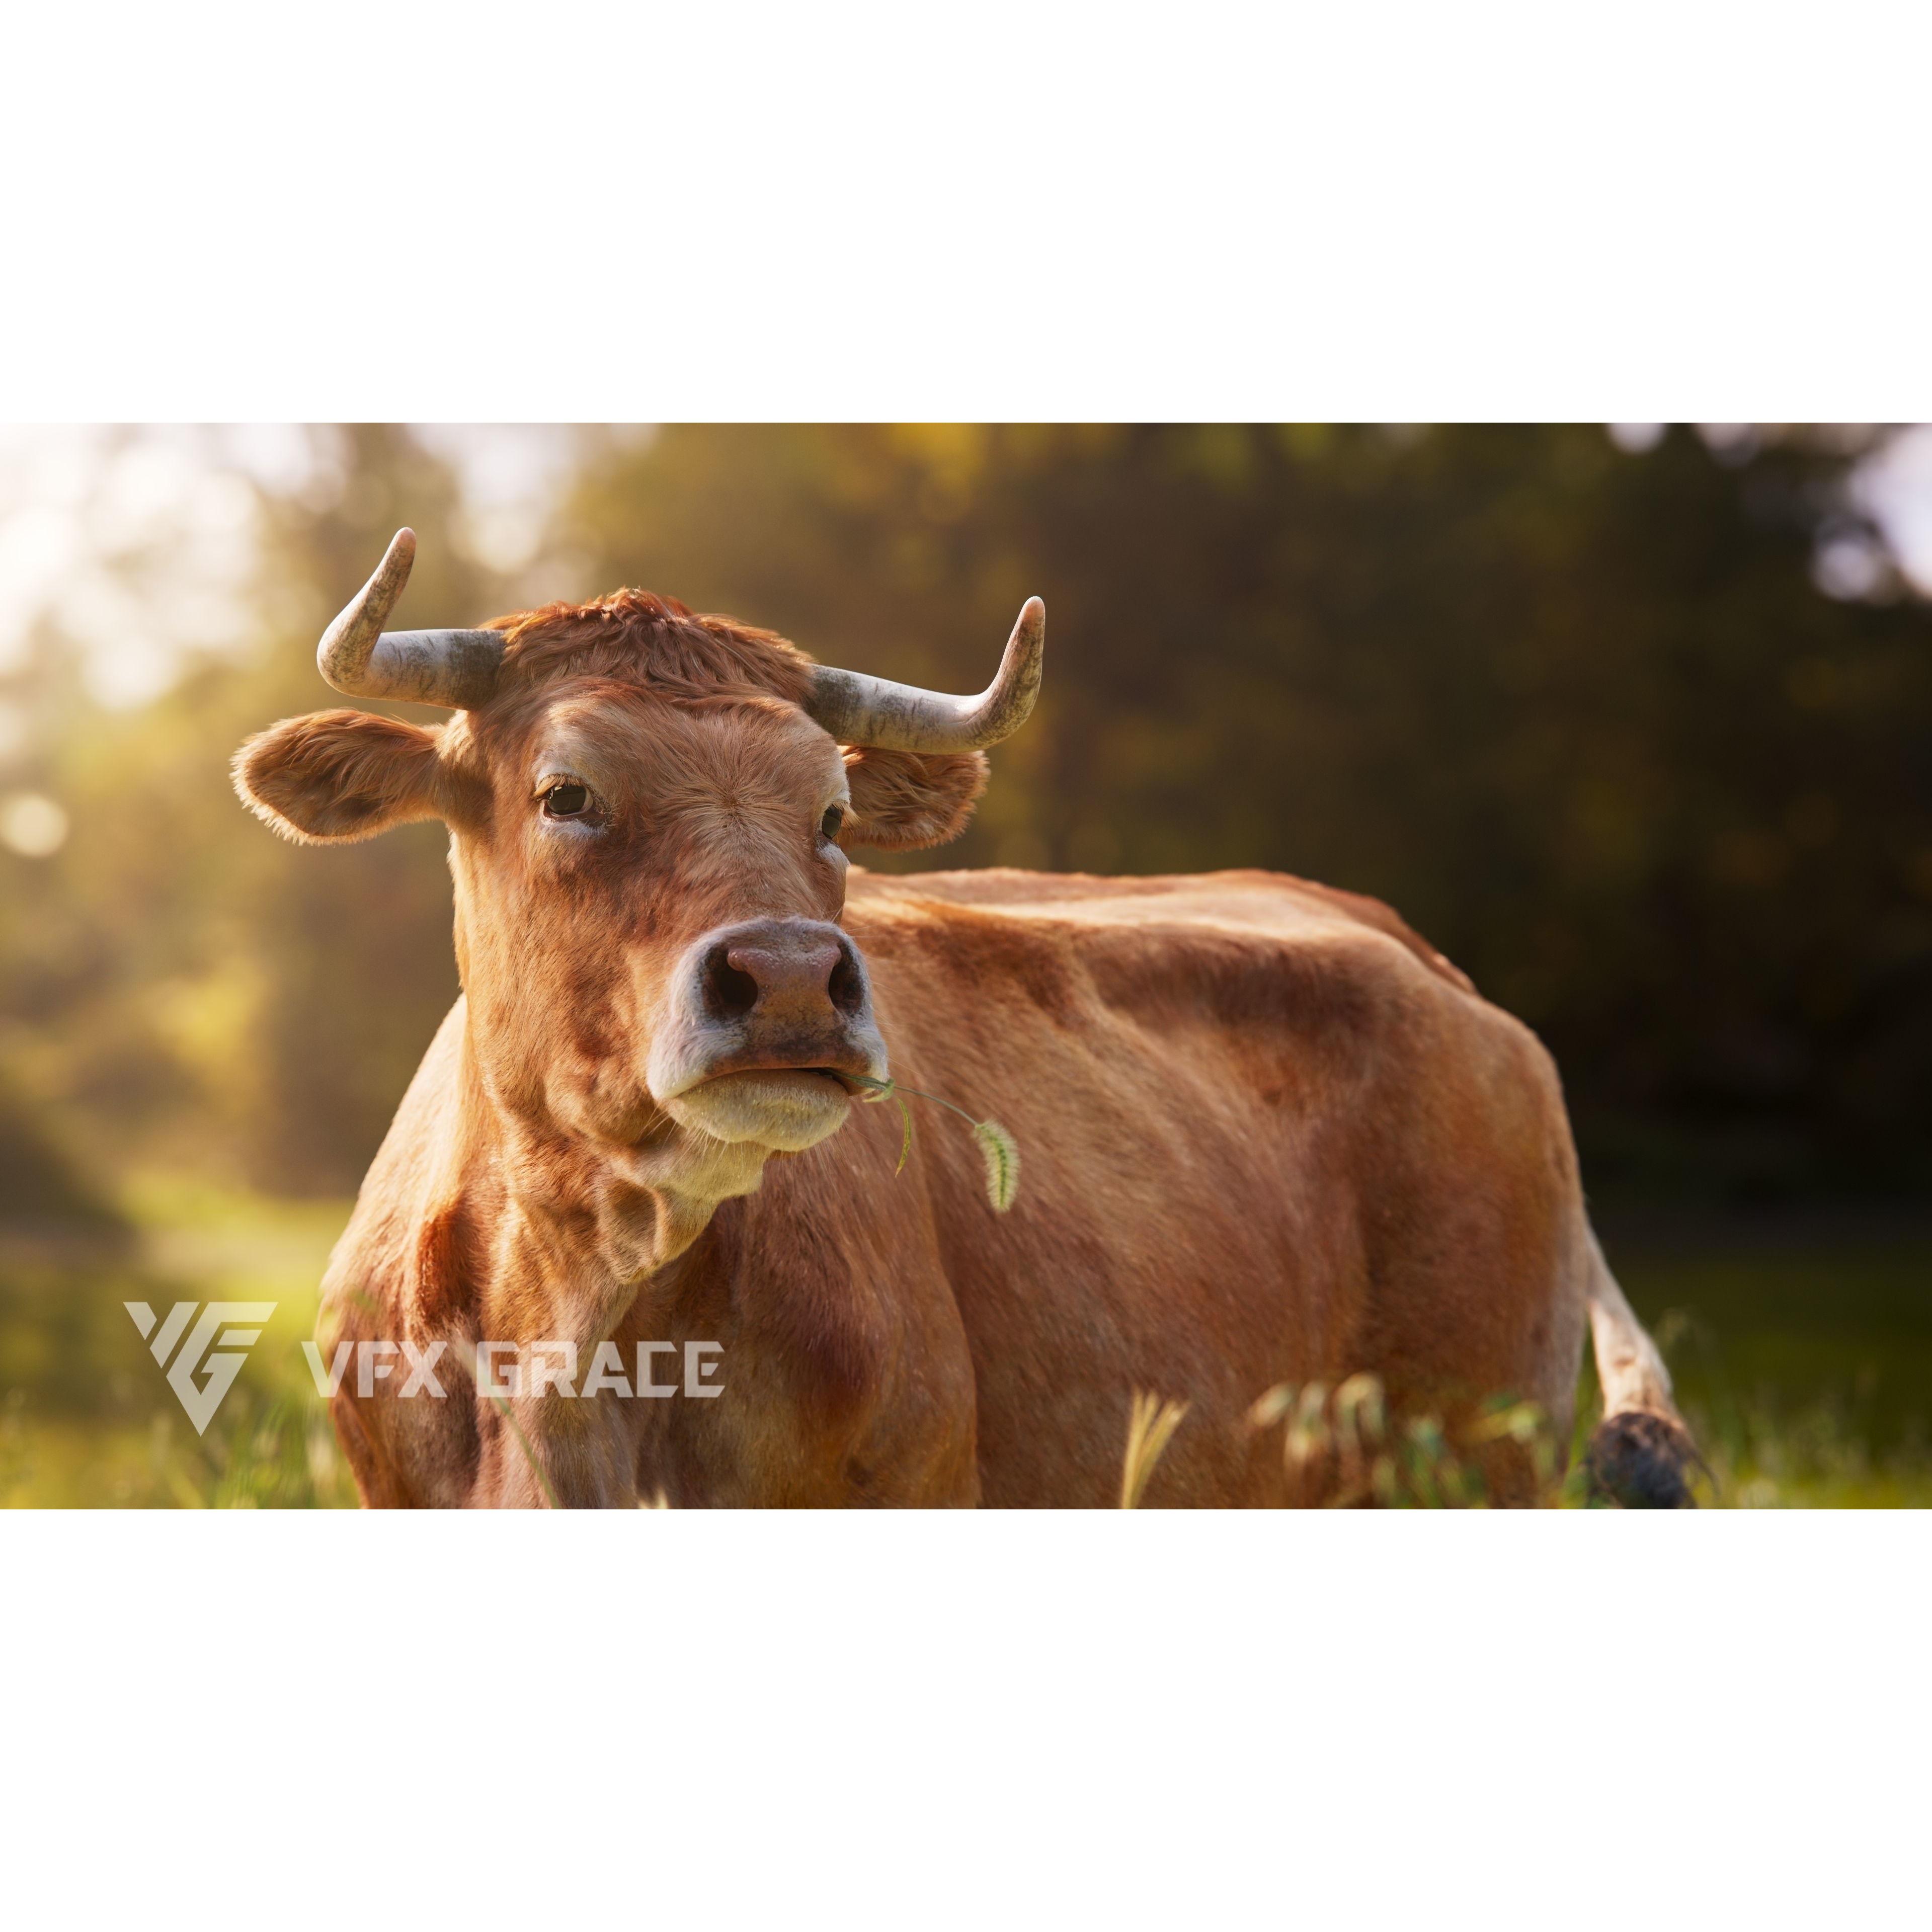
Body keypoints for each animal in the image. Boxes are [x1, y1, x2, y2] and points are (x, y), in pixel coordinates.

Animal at [233, 529, 1698, 1508]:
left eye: (831, 812)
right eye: (566, 792)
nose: (790, 980)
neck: (574, 1325)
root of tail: (1408, 944)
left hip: (1473, 1444)